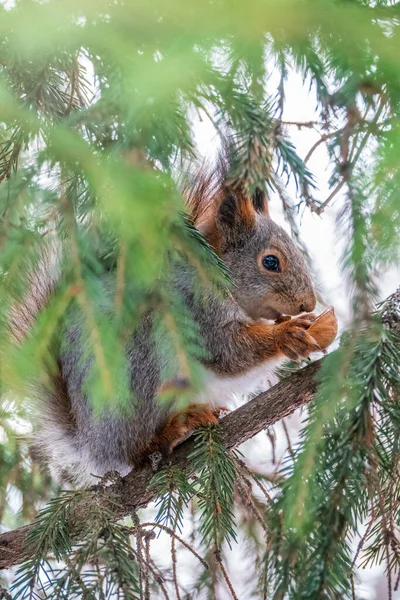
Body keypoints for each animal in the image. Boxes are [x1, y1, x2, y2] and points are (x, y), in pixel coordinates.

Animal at [7, 152, 338, 486]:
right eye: (270, 262)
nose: (308, 302)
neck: (216, 277)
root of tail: (92, 443)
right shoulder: (197, 311)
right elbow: (230, 353)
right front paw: (288, 333)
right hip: (140, 373)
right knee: (136, 451)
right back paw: (172, 430)